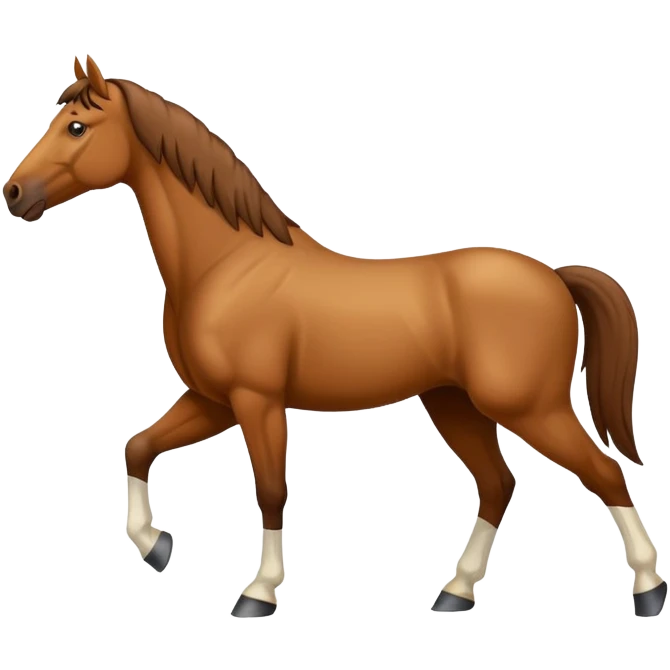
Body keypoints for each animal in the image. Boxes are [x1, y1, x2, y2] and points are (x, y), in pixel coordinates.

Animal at [4, 54, 666, 619]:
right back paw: (455, 592)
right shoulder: (212, 401)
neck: (227, 265)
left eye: (77, 127)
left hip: (531, 407)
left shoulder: (256, 402)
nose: (14, 193)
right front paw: (155, 545)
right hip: (454, 405)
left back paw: (649, 590)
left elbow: (271, 492)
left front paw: (258, 595)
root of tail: (553, 275)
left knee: (604, 475)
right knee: (499, 485)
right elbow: (138, 447)